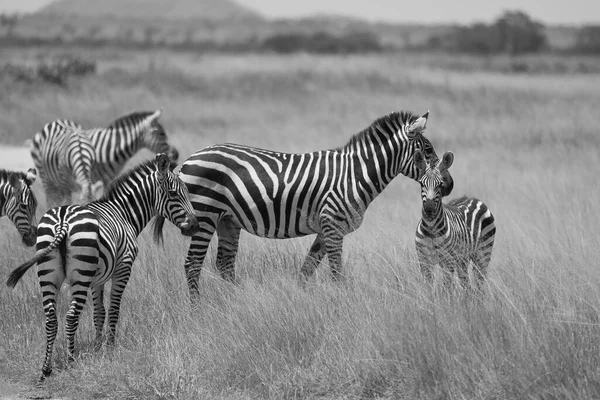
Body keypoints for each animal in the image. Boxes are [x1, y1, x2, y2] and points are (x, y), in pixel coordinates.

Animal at [5, 153, 199, 382]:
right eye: (174, 193)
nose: (195, 225)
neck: (123, 213)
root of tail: (62, 220)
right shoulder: (123, 269)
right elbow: (114, 309)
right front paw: (110, 347)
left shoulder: (96, 280)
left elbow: (99, 312)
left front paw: (98, 348)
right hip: (80, 276)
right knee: (71, 316)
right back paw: (71, 361)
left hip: (48, 274)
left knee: (51, 318)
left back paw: (46, 368)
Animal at [176, 108, 452, 296]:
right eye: (427, 151)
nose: (449, 185)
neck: (355, 174)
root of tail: (189, 159)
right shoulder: (333, 226)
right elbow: (336, 274)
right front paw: (341, 306)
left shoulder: (326, 228)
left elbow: (306, 269)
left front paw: (299, 299)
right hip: (205, 215)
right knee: (192, 264)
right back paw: (197, 308)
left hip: (227, 220)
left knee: (224, 264)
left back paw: (236, 302)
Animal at [412, 149, 496, 290]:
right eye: (421, 183)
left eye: (440, 184)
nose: (429, 209)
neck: (431, 229)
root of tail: (472, 198)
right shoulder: (424, 261)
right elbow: (428, 289)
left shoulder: (448, 261)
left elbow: (447, 289)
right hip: (463, 259)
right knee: (466, 284)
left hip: (483, 254)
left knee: (479, 284)